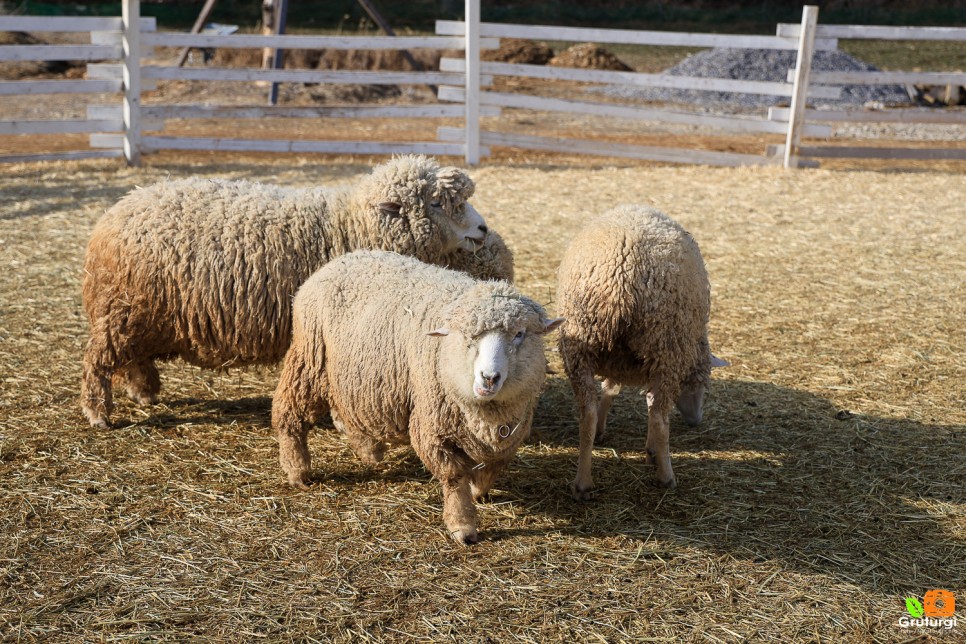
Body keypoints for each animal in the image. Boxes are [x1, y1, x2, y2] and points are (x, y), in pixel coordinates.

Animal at [80, 153, 502, 430]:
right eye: (437, 202)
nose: (482, 229)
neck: (347, 224)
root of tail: (112, 216)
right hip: (125, 309)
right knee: (97, 360)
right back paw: (99, 413)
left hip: (137, 312)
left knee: (131, 357)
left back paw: (143, 391)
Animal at [270, 250, 560, 544]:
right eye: (467, 336)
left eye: (520, 334)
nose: (489, 378)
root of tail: (345, 258)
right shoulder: (432, 428)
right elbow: (454, 478)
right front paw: (462, 526)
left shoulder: (510, 433)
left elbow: (492, 468)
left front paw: (478, 491)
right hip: (309, 360)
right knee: (288, 411)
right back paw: (297, 470)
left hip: (354, 379)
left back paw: (369, 451)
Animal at [556, 204, 728, 496]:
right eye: (701, 385)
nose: (696, 421)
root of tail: (621, 282)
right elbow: (650, 404)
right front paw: (653, 451)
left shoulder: (620, 361)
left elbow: (611, 389)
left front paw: (603, 429)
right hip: (667, 345)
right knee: (659, 416)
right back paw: (666, 476)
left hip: (579, 346)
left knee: (587, 414)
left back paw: (582, 483)